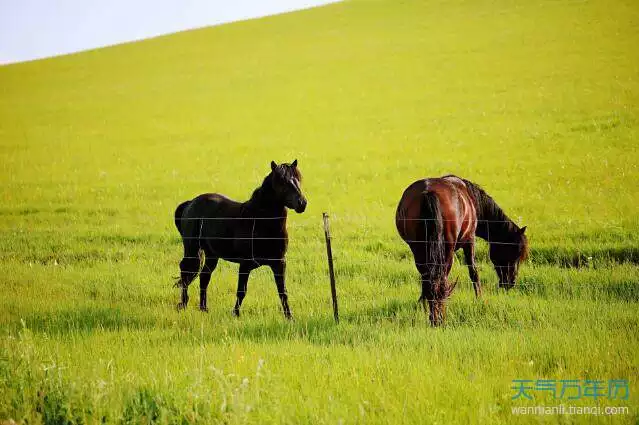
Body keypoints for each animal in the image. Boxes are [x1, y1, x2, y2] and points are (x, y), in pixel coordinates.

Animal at [172, 160, 308, 318]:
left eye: (298, 179)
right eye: (282, 182)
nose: (302, 203)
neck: (259, 221)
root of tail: (190, 203)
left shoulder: (279, 263)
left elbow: (283, 292)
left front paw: (289, 317)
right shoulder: (245, 264)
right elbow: (241, 291)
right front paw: (236, 314)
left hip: (212, 255)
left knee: (204, 276)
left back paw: (204, 308)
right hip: (192, 249)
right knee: (186, 272)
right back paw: (184, 304)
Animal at [396, 175, 528, 324]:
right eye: (514, 253)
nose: (511, 282)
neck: (472, 199)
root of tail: (428, 193)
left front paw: (421, 304)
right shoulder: (469, 240)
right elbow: (474, 272)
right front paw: (480, 299)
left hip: (418, 249)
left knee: (429, 279)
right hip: (447, 251)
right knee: (441, 280)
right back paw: (438, 317)